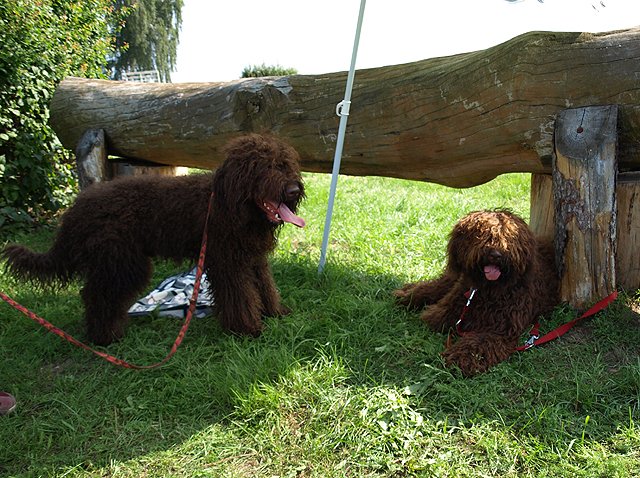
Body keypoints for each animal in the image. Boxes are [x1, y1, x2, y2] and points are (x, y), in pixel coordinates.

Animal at [2, 134, 305, 345]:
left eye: (285, 164)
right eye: (262, 167)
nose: (294, 190)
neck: (231, 206)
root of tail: (77, 209)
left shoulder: (253, 259)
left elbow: (264, 288)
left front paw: (275, 312)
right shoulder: (228, 264)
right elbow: (241, 297)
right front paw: (247, 329)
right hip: (121, 261)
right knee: (96, 294)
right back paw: (105, 337)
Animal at [394, 209, 559, 376]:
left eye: (509, 237)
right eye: (481, 234)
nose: (496, 254)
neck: (488, 290)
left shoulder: (500, 330)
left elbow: (478, 342)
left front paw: (461, 357)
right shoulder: (450, 308)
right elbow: (436, 318)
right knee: (436, 285)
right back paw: (408, 295)